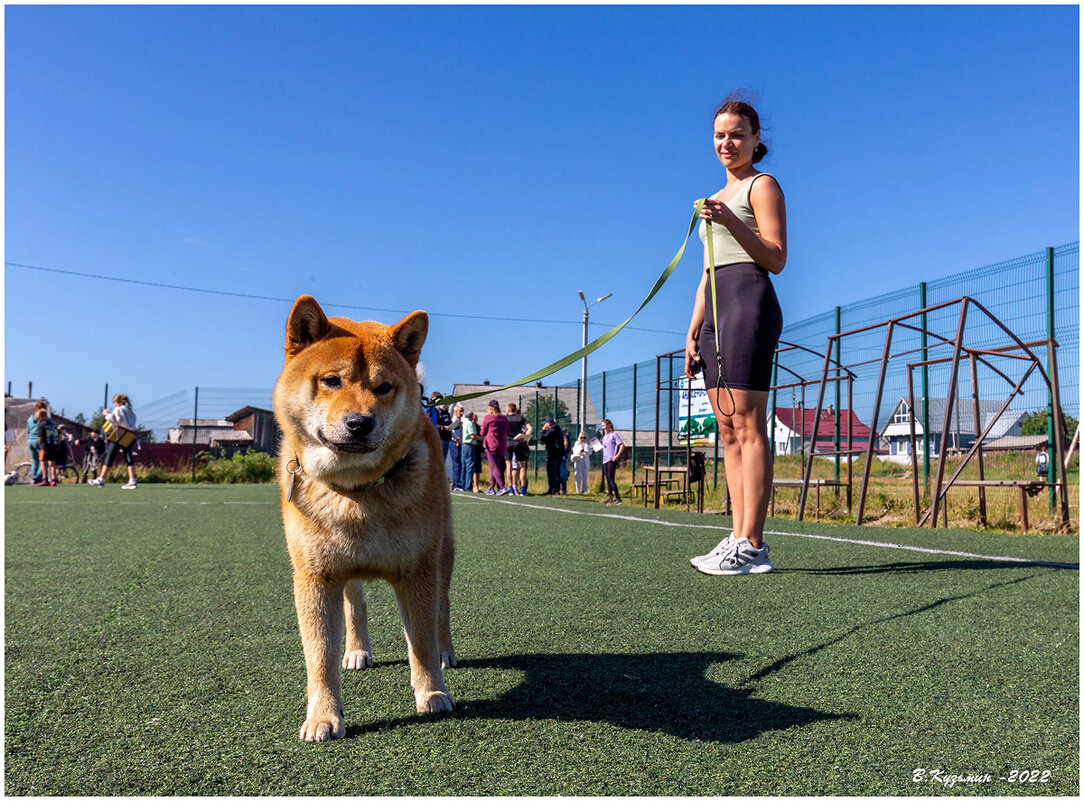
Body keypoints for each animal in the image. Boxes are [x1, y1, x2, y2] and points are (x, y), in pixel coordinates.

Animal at [275, 296, 457, 745]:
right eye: (331, 381)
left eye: (383, 387)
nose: (360, 423)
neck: (355, 491)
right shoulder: (315, 577)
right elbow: (319, 655)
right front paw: (323, 715)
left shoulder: (418, 570)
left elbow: (421, 640)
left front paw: (432, 692)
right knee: (355, 604)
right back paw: (357, 650)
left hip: (443, 553)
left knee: (442, 609)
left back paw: (446, 652)